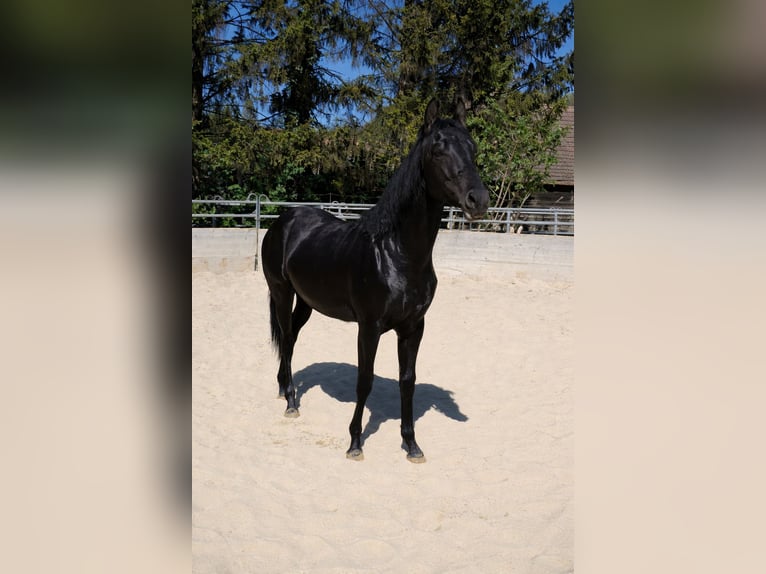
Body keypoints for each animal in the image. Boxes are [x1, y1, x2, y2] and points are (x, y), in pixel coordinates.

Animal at [261, 99, 489, 462]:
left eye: (472, 148)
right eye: (438, 151)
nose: (477, 200)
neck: (396, 254)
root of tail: (285, 220)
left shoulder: (413, 327)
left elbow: (407, 380)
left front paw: (411, 444)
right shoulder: (369, 327)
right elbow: (364, 380)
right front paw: (355, 442)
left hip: (307, 302)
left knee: (291, 338)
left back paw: (286, 392)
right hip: (282, 293)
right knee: (284, 337)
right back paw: (292, 401)